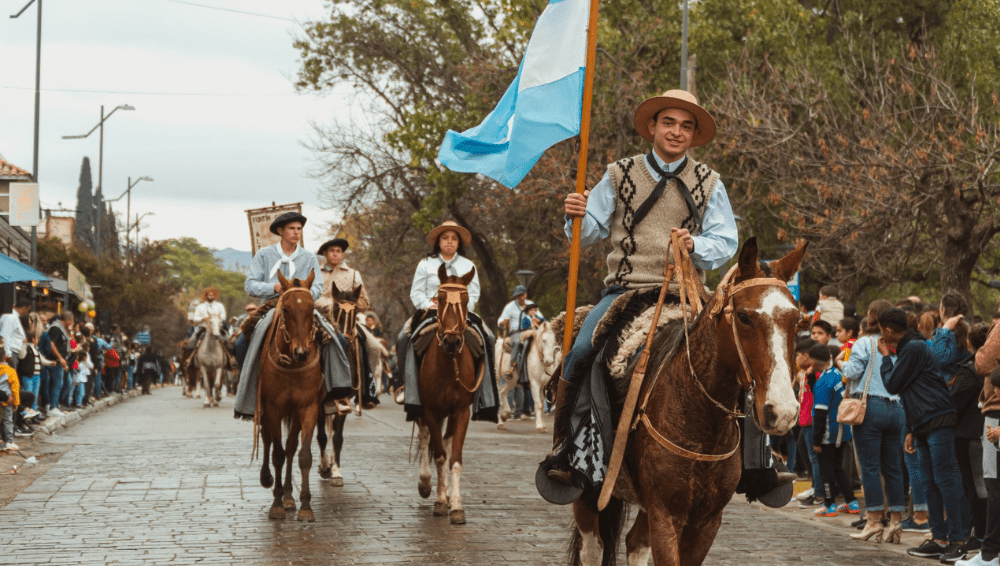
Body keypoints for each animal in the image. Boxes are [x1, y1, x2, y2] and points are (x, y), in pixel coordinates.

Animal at [572, 240, 804, 566]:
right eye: (744, 317)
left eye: (797, 320)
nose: (783, 411)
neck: (701, 423)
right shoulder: (665, 514)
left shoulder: (706, 520)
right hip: (589, 493)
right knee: (592, 546)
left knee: (634, 543)